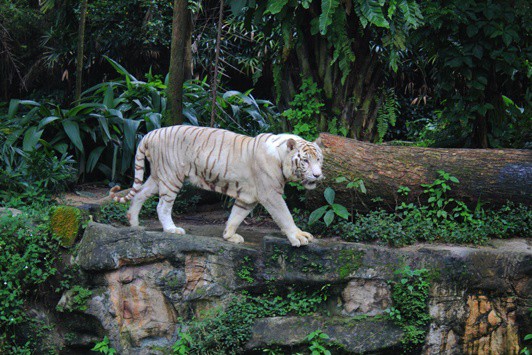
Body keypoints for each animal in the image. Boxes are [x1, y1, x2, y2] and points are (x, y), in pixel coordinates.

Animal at [110, 127, 322, 248]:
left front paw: (229, 236)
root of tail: (150, 133)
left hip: (157, 176)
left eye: (319, 159)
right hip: (171, 176)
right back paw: (171, 229)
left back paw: (134, 224)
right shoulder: (270, 194)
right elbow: (285, 215)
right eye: (305, 161)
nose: (318, 175)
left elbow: (236, 216)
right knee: (161, 206)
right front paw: (298, 237)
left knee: (139, 194)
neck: (281, 158)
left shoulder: (247, 197)